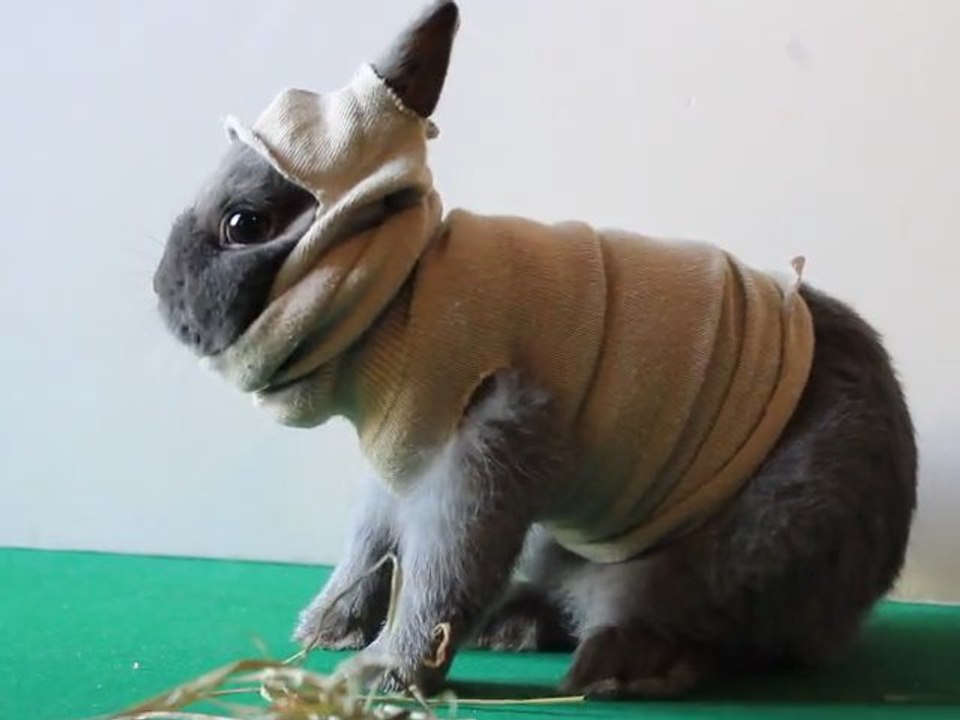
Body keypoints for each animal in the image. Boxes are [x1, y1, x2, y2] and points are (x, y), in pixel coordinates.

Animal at [152, 0, 917, 700]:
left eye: (245, 223)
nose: (161, 294)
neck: (398, 298)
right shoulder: (397, 465)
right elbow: (371, 552)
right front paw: (327, 628)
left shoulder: (483, 445)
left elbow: (441, 572)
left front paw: (381, 673)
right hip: (573, 543)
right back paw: (515, 626)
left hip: (743, 547)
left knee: (710, 631)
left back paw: (624, 667)